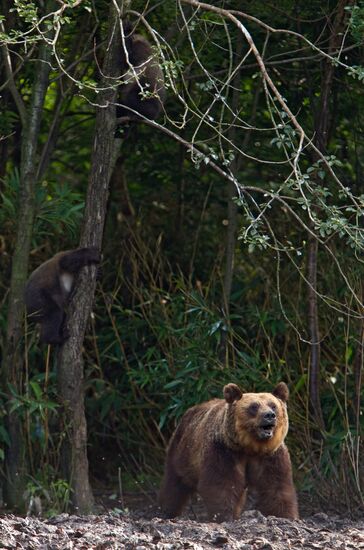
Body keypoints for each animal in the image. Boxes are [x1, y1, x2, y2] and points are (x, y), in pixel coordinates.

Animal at [159, 382, 298, 524]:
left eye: (273, 405)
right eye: (254, 407)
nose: (269, 415)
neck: (250, 447)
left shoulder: (271, 456)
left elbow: (276, 486)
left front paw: (286, 516)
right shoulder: (224, 451)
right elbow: (222, 485)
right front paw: (223, 516)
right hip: (182, 452)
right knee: (174, 484)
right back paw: (167, 512)